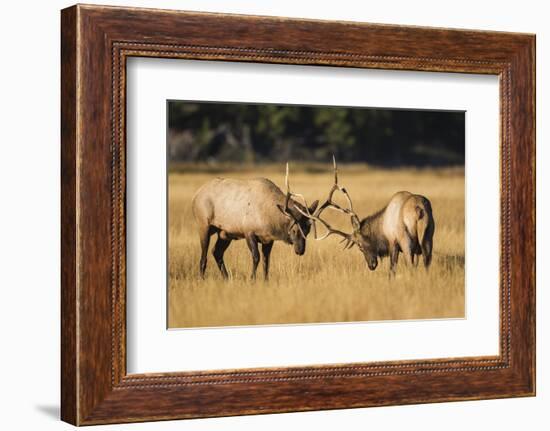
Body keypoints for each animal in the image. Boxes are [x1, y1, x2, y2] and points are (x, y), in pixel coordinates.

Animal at [192, 165, 320, 280]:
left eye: (308, 229)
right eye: (293, 229)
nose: (300, 250)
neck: (269, 217)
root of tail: (196, 195)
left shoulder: (268, 239)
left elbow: (266, 261)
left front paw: (266, 281)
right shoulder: (249, 232)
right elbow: (256, 257)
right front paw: (252, 279)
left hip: (225, 233)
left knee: (216, 252)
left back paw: (227, 278)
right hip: (204, 225)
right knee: (204, 256)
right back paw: (202, 279)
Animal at [298, 158, 436, 274]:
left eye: (360, 245)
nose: (371, 265)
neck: (382, 228)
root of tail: (419, 209)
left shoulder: (393, 242)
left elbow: (392, 270)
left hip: (405, 239)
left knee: (411, 266)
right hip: (428, 236)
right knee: (427, 263)